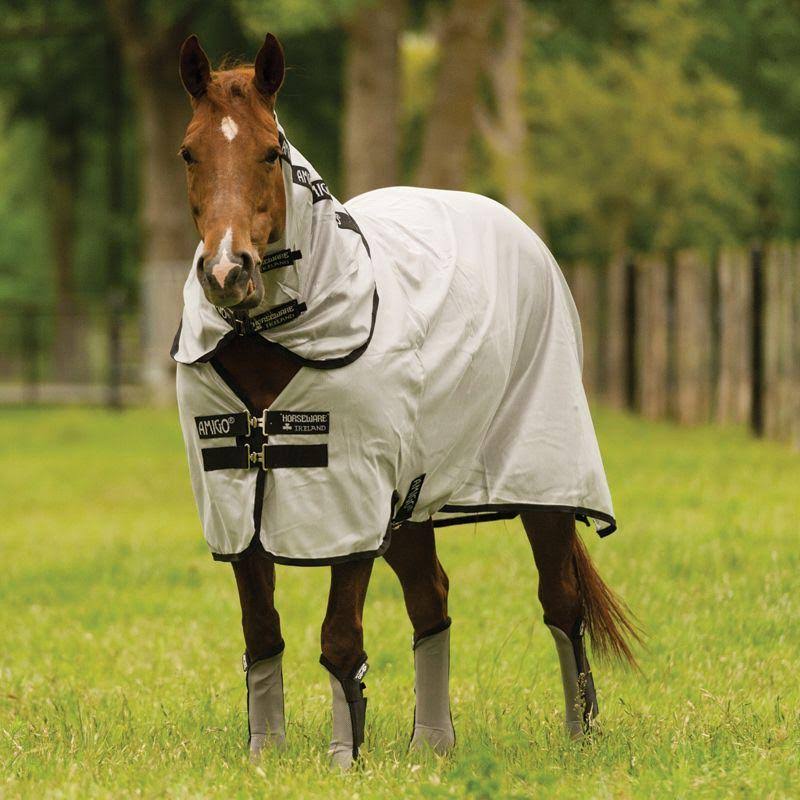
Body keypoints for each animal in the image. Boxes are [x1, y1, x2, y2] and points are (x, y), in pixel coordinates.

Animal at [172, 33, 639, 770]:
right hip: (413, 498)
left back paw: (578, 733)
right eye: (189, 151)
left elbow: (339, 638)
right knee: (431, 600)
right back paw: (433, 744)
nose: (226, 271)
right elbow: (261, 634)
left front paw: (343, 761)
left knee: (562, 602)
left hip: (544, 482)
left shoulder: (349, 502)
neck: (273, 337)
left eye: (270, 152)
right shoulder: (238, 505)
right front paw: (263, 757)